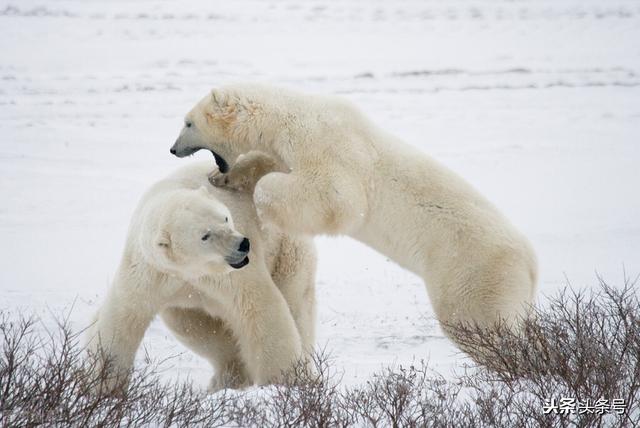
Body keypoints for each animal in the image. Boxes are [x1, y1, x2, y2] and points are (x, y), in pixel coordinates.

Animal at [86, 160, 316, 392]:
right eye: (205, 236)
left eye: (225, 217)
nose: (243, 245)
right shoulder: (150, 271)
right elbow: (122, 318)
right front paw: (102, 386)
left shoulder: (229, 275)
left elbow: (259, 308)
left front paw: (284, 382)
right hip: (185, 306)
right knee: (194, 328)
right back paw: (227, 379)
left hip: (285, 249)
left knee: (296, 304)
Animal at [169, 83, 536, 354]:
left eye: (188, 123)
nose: (172, 149)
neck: (292, 117)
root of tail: (531, 263)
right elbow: (270, 162)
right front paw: (223, 178)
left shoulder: (330, 147)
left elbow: (334, 197)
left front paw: (261, 200)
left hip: (471, 271)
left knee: (476, 320)